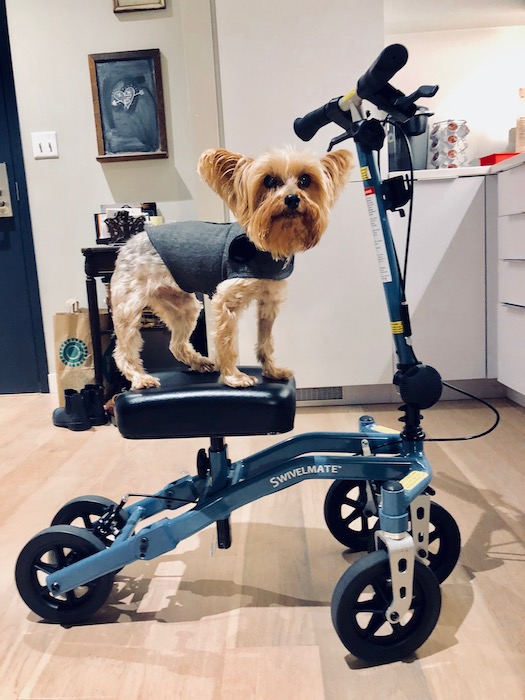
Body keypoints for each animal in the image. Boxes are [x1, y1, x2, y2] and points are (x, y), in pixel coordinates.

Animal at [111, 146, 352, 388]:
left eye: (305, 180)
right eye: (268, 180)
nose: (292, 198)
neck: (267, 246)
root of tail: (130, 241)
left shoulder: (269, 302)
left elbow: (266, 342)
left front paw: (272, 371)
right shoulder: (226, 300)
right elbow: (227, 342)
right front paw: (233, 377)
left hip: (183, 305)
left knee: (176, 344)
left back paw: (200, 362)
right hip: (129, 305)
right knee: (123, 350)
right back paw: (140, 378)